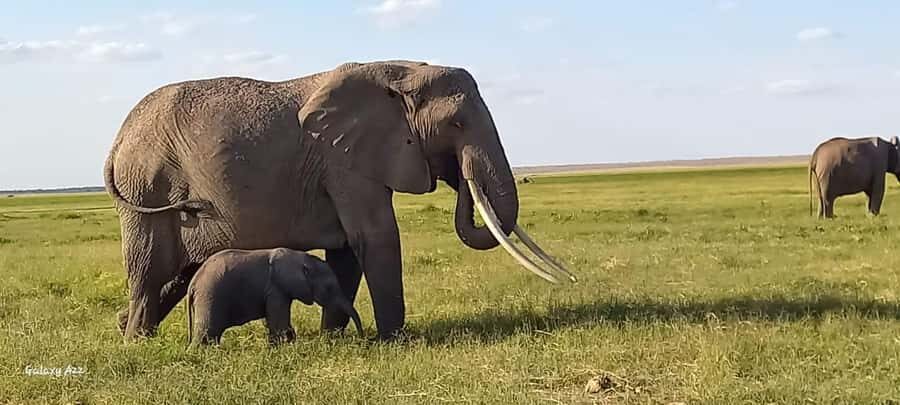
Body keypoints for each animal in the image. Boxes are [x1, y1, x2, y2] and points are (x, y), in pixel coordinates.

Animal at [186, 248, 364, 346]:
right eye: (329, 288)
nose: (362, 340)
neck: (302, 259)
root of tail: (193, 283)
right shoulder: (276, 288)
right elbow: (278, 320)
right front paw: (282, 347)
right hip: (209, 295)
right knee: (206, 331)